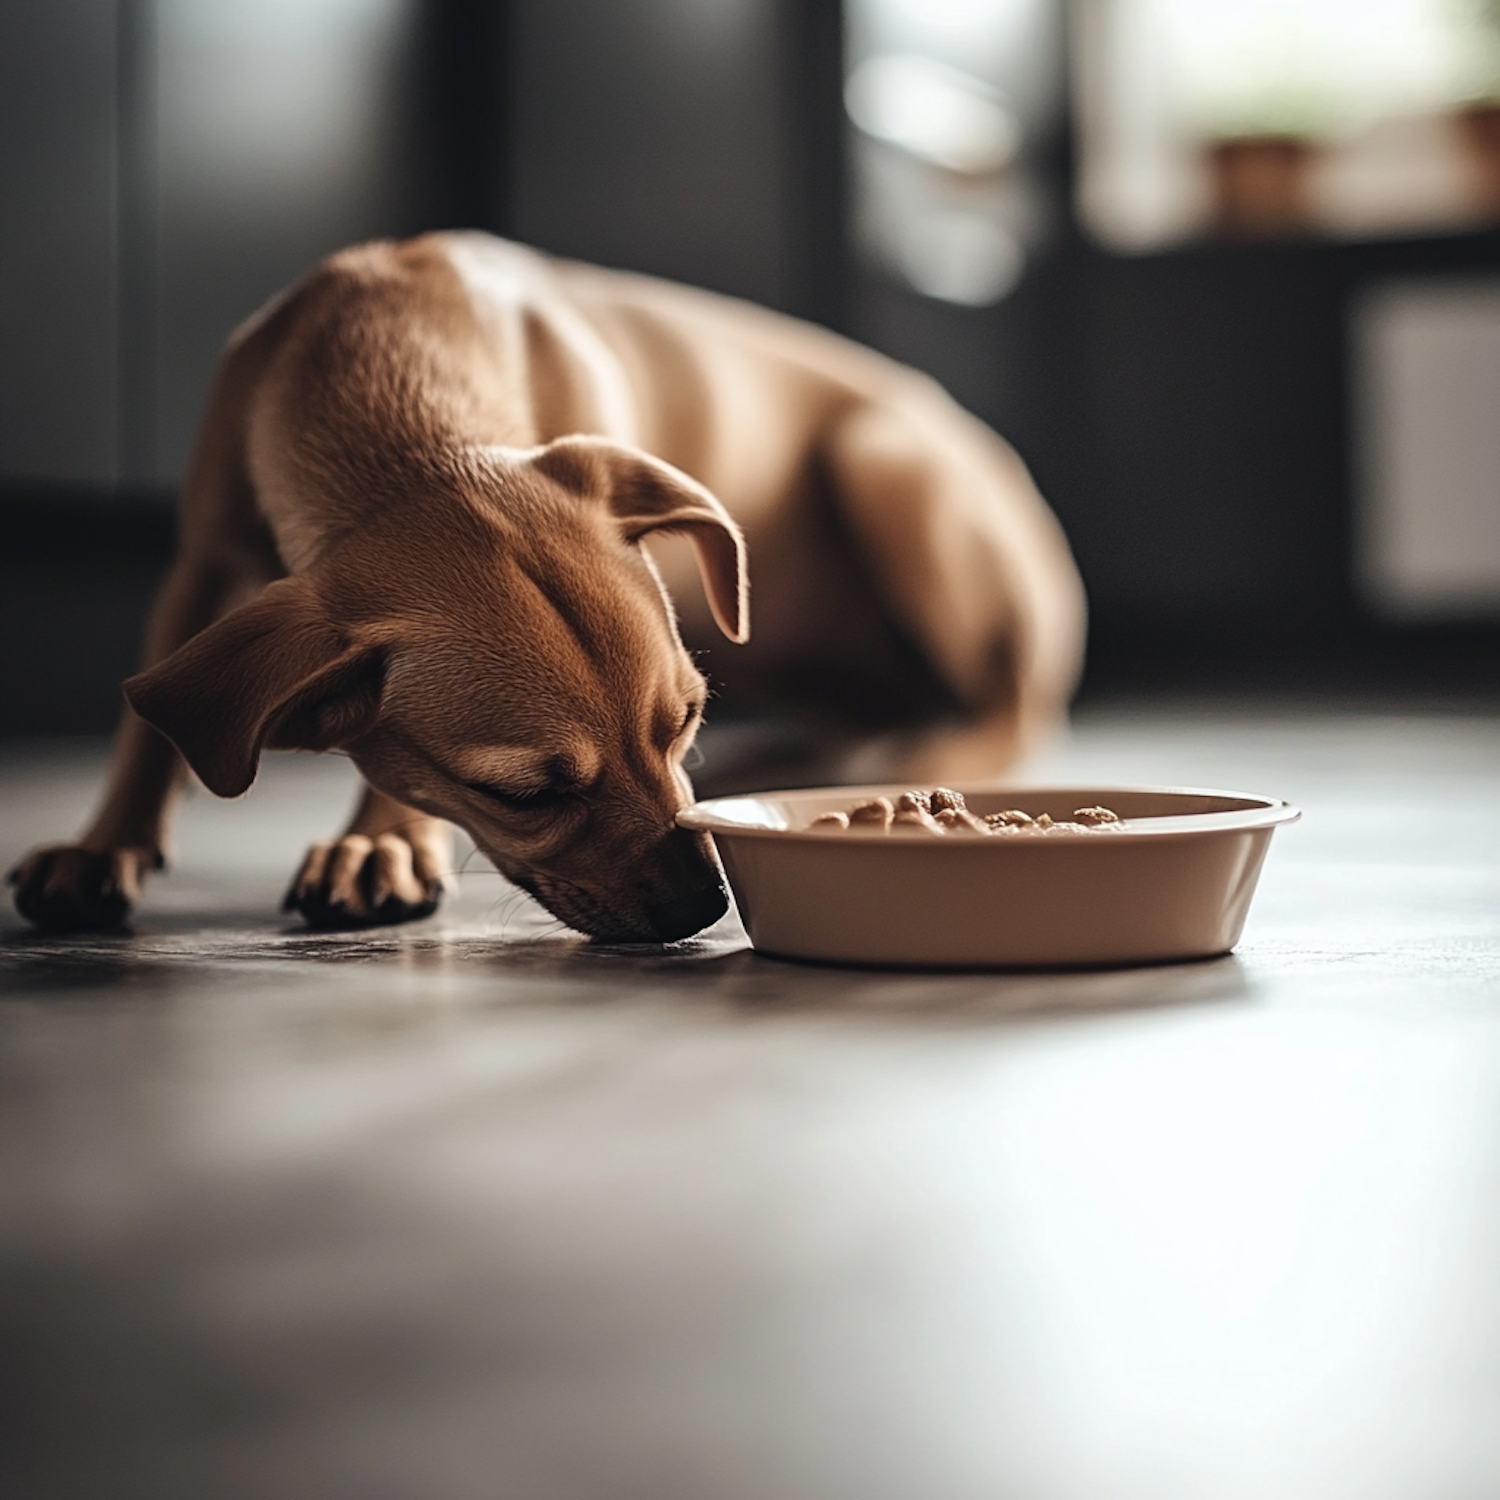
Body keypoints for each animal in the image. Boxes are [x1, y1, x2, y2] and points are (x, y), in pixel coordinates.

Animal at [5, 231, 1086, 936]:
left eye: (682, 720)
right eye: (521, 793)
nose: (705, 907)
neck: (401, 401)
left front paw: (381, 842)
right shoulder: (201, 563)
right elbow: (148, 733)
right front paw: (103, 849)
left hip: (887, 465)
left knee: (1010, 703)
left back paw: (921, 752)